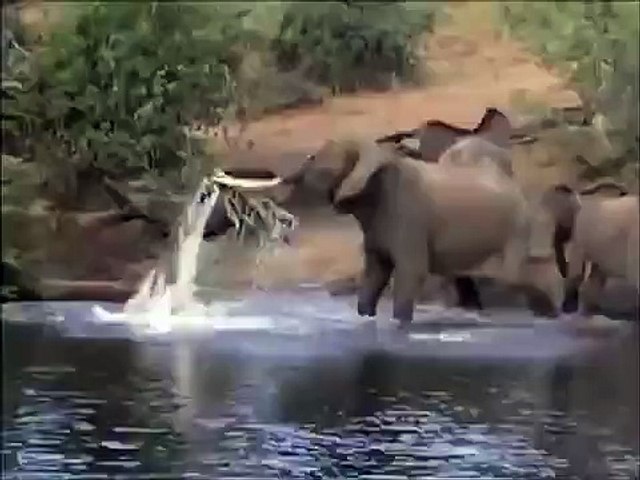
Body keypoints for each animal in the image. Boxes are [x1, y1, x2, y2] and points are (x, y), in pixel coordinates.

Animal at [284, 137, 561, 327]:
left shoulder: (408, 215)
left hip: (516, 229)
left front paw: (399, 325)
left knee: (519, 275)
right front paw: (366, 318)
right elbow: (375, 273)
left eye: (316, 161)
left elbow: (411, 271)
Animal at [541, 180, 639, 315]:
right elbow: (596, 274)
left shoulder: (579, 234)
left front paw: (569, 309)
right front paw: (591, 310)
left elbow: (577, 270)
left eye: (560, 223)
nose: (623, 191)